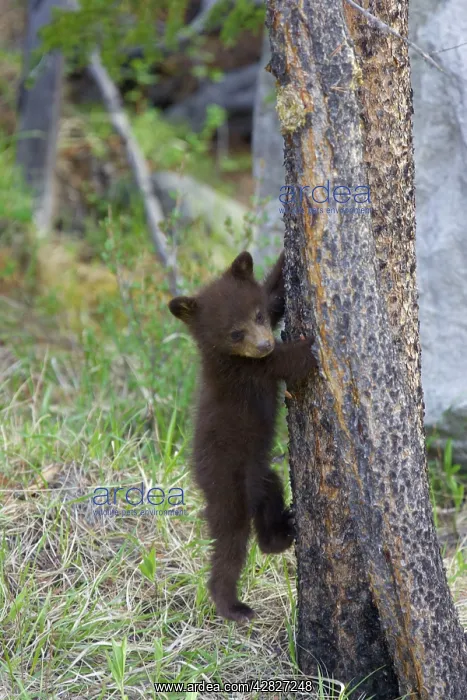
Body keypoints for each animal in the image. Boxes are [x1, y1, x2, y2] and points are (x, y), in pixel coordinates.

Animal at [168, 251, 317, 622]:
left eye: (258, 315)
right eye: (235, 334)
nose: (264, 343)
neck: (224, 356)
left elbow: (275, 294)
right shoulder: (249, 369)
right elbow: (289, 362)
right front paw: (310, 347)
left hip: (261, 474)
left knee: (270, 497)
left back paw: (281, 532)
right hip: (226, 483)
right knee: (229, 543)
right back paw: (232, 605)